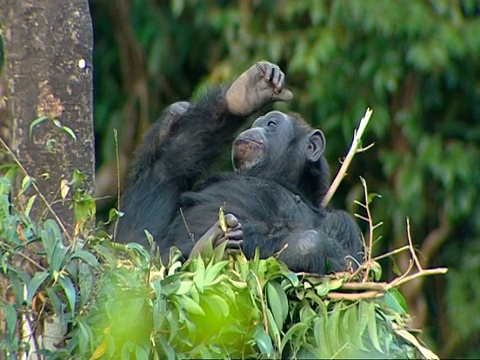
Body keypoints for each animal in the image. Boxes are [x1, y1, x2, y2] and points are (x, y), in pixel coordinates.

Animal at [118, 61, 362, 272]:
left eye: (271, 124)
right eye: (257, 123)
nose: (254, 128)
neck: (289, 185)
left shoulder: (343, 224)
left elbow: (350, 264)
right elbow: (179, 160)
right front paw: (251, 90)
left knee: (310, 244)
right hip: (134, 250)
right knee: (166, 171)